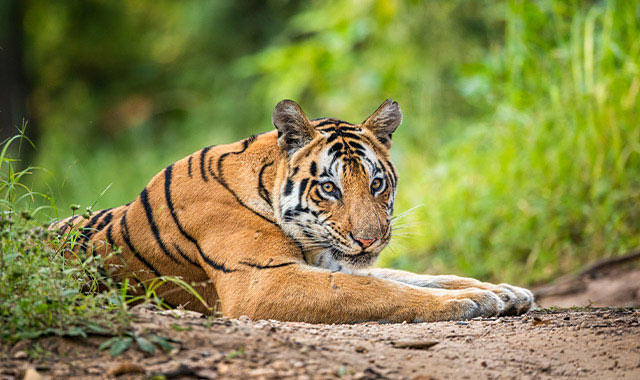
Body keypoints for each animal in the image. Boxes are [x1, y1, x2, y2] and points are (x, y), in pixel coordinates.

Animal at [53, 99, 536, 322]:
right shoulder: (263, 281)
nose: (370, 239)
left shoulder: (329, 261)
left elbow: (412, 276)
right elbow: (379, 288)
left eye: (377, 184)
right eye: (329, 188)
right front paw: (471, 300)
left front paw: (505, 291)